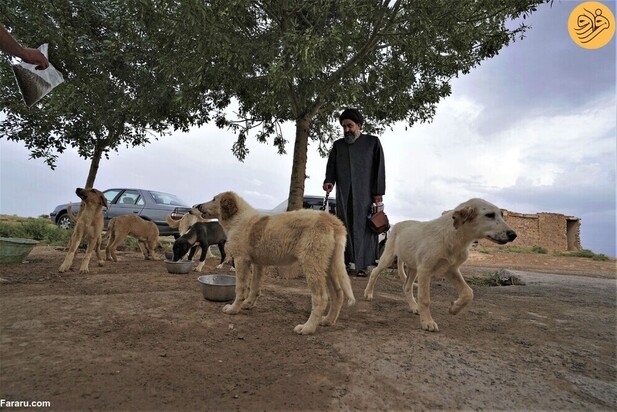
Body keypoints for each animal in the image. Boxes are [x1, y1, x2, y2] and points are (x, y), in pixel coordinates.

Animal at [195, 191, 354, 334]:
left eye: (214, 199)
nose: (198, 205)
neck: (238, 219)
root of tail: (332, 219)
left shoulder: (241, 260)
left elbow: (240, 288)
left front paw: (233, 309)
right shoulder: (258, 264)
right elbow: (255, 287)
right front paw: (248, 304)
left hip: (312, 264)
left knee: (321, 298)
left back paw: (307, 328)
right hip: (328, 266)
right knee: (338, 294)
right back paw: (327, 321)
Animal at [364, 199, 516, 332]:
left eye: (501, 215)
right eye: (489, 215)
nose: (513, 235)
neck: (455, 238)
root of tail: (398, 223)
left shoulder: (451, 270)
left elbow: (468, 293)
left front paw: (454, 308)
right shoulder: (425, 270)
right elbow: (425, 299)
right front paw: (428, 322)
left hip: (414, 267)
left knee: (407, 287)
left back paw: (414, 307)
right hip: (388, 258)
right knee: (375, 272)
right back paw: (368, 294)